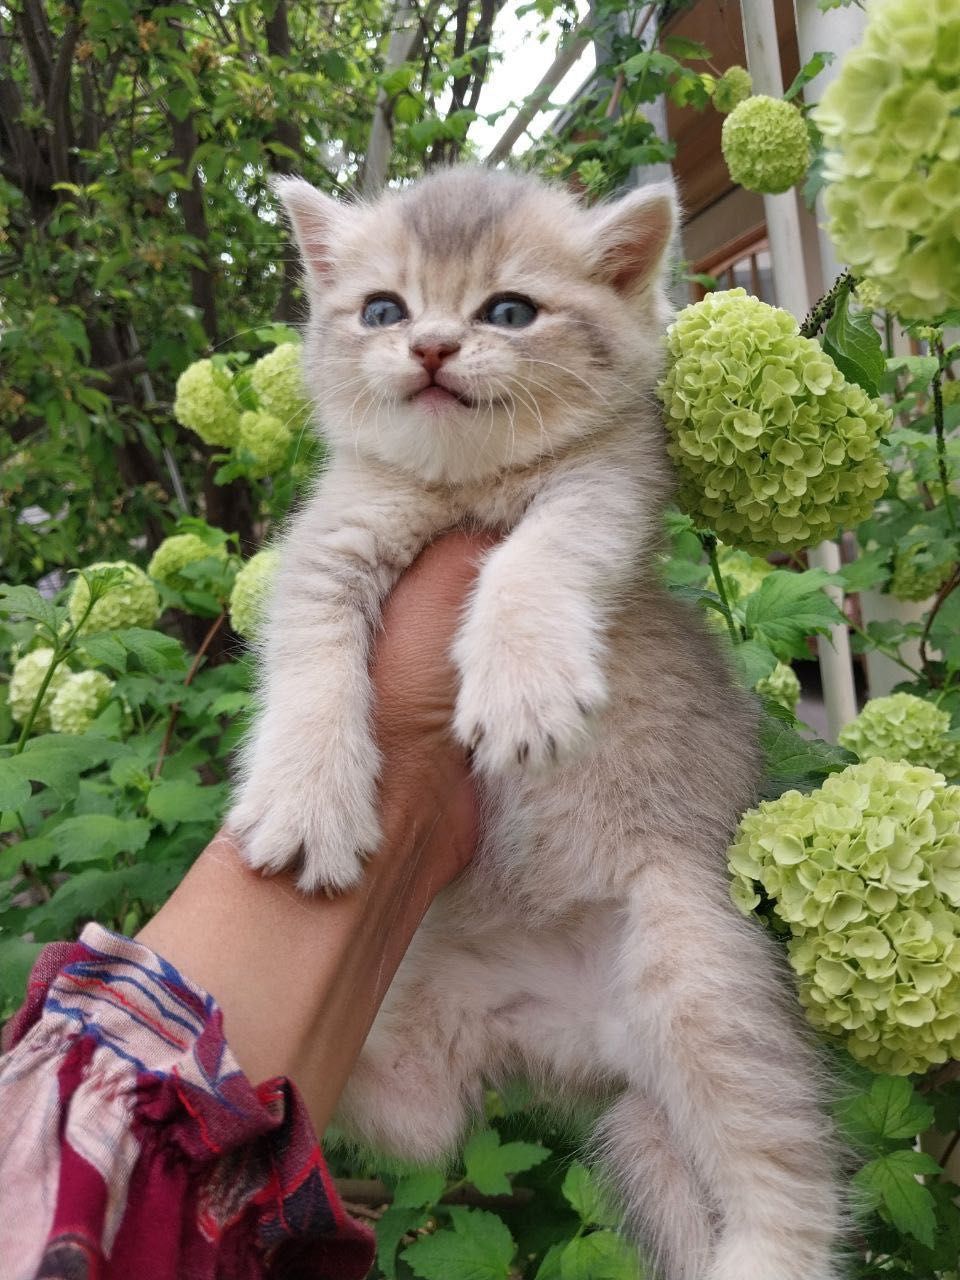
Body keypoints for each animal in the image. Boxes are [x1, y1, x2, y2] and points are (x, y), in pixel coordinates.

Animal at [229, 167, 839, 1280]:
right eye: (382, 310)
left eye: (508, 311)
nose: (430, 347)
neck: (467, 484)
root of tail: (591, 1048)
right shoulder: (329, 544)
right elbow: (306, 660)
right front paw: (304, 798)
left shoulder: (606, 489)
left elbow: (542, 549)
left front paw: (521, 682)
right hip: (432, 1033)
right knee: (403, 1115)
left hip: (698, 970)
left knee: (785, 1182)